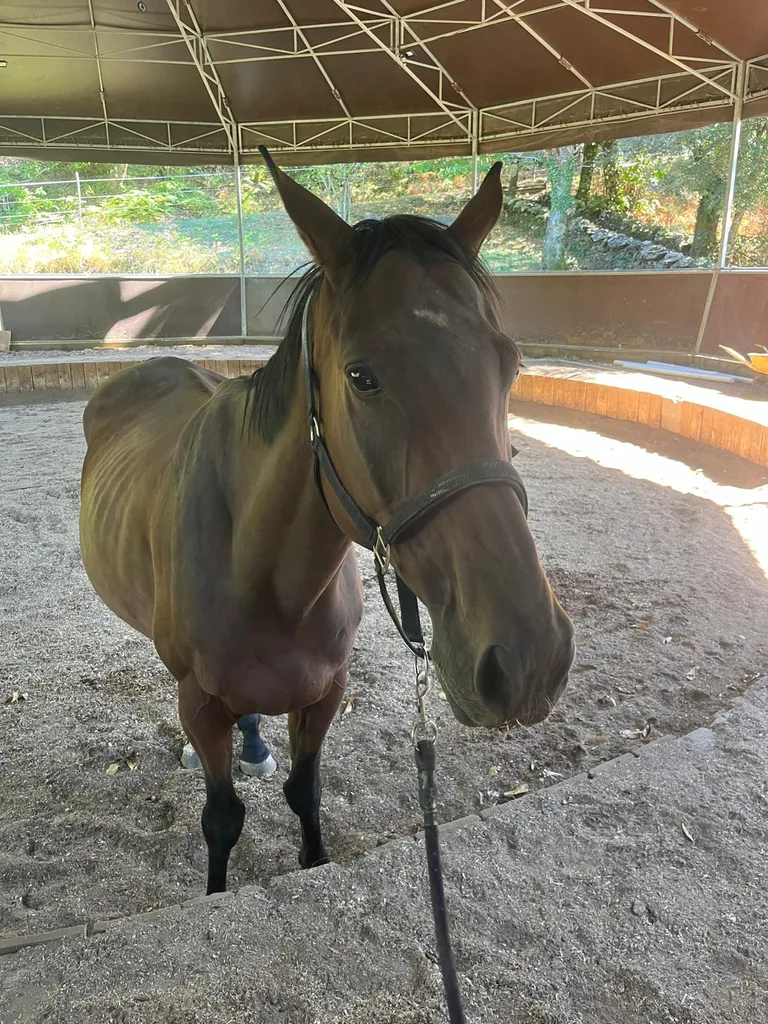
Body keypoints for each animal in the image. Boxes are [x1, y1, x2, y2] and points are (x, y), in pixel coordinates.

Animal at [79, 153, 575, 895]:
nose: (529, 660)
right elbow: (221, 819)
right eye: (361, 377)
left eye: (510, 364)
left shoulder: (323, 692)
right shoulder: (199, 701)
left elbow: (305, 792)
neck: (264, 574)